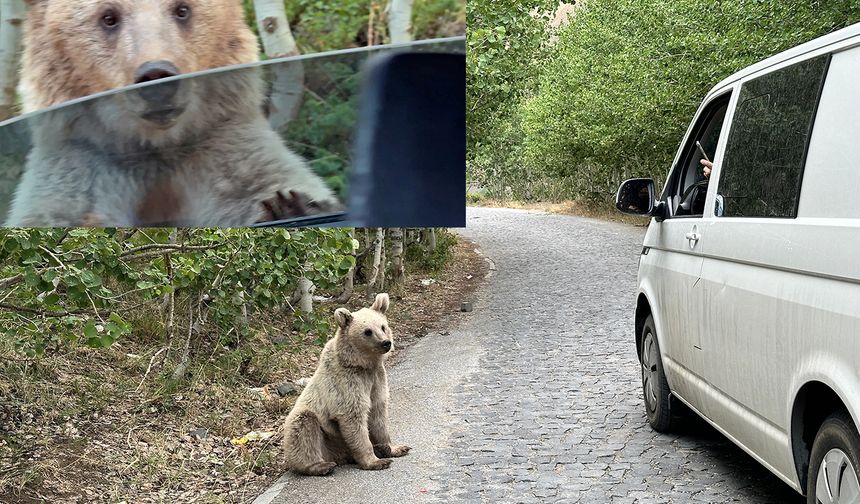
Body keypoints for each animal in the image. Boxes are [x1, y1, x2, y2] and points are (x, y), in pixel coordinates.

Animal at [9, 0, 342, 226]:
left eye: (182, 10)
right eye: (108, 17)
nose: (157, 76)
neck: (155, 146)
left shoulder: (224, 151)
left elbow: (263, 185)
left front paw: (292, 205)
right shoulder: (83, 164)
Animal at [280, 294, 412, 474]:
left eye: (383, 326)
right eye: (367, 331)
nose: (386, 343)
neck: (363, 364)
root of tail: (339, 455)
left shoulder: (377, 380)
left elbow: (378, 415)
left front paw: (396, 447)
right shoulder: (347, 383)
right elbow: (354, 418)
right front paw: (376, 462)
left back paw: (380, 449)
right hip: (320, 431)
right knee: (304, 427)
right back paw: (321, 466)